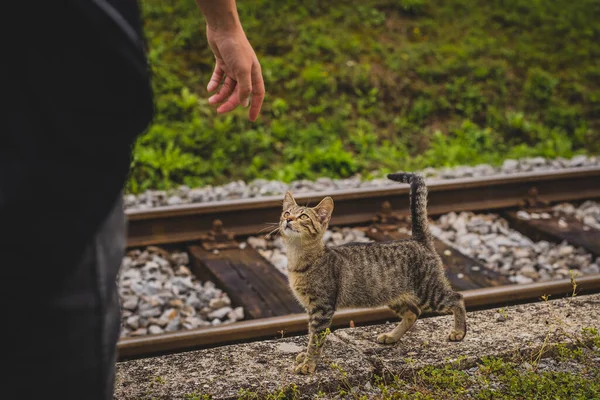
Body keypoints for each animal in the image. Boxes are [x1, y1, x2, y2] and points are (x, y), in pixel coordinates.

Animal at [278, 173, 466, 376]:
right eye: (287, 213)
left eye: (303, 216)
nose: (288, 220)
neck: (298, 258)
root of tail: (418, 240)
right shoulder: (310, 308)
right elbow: (310, 335)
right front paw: (305, 357)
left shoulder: (321, 308)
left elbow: (315, 339)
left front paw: (309, 364)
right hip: (393, 296)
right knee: (413, 312)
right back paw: (392, 337)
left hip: (428, 292)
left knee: (457, 298)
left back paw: (459, 331)